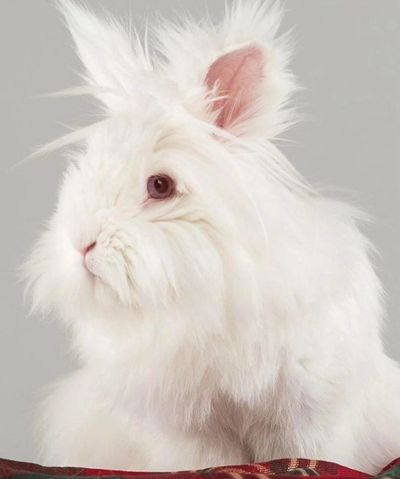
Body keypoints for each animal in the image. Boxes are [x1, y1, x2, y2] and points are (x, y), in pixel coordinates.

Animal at [23, 0, 400, 474]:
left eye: (160, 185)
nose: (81, 245)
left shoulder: (306, 408)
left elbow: (302, 452)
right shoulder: (187, 426)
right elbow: (209, 461)